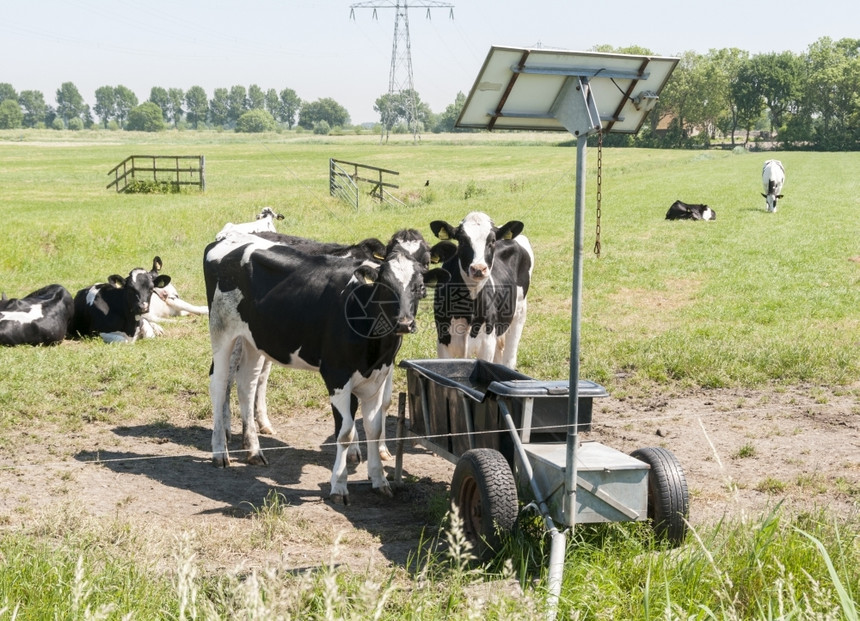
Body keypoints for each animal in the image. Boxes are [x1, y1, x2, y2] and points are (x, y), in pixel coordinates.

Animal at [205, 228, 454, 504]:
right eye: (385, 286)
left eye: (419, 285)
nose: (404, 323)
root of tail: (228, 239)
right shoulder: (337, 376)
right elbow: (344, 433)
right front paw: (339, 486)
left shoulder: (377, 378)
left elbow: (374, 428)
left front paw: (380, 480)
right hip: (222, 332)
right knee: (219, 384)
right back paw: (220, 452)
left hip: (254, 338)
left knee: (246, 384)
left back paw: (254, 451)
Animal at [434, 212, 536, 368]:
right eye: (462, 241)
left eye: (492, 241)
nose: (478, 268)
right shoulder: (443, 340)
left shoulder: (487, 342)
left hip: (519, 311)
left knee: (509, 358)